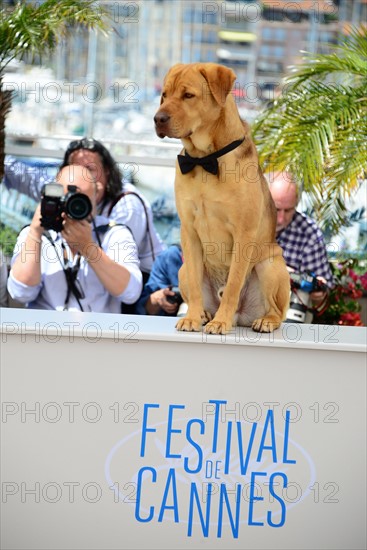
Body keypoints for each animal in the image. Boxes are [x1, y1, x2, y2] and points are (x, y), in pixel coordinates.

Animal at [155, 62, 290, 334]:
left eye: (188, 95)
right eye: (164, 95)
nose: (158, 119)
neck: (205, 159)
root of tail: (241, 317)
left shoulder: (243, 234)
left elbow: (233, 285)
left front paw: (220, 322)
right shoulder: (189, 231)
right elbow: (196, 285)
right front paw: (192, 318)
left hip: (270, 265)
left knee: (277, 311)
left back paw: (264, 320)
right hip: (182, 270)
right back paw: (205, 313)